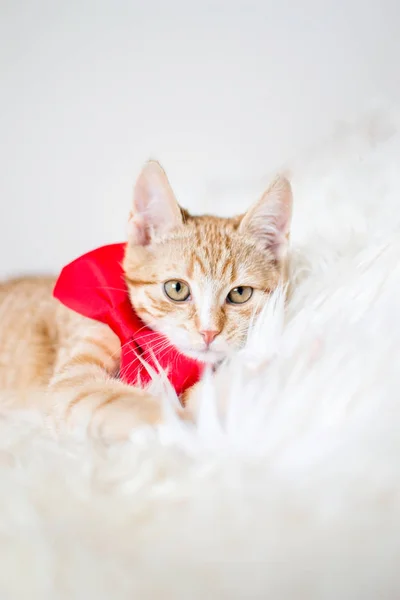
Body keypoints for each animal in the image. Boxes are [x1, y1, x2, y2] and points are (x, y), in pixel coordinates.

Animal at [0, 163, 290, 440]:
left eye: (240, 294)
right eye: (176, 289)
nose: (208, 332)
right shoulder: (70, 382)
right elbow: (114, 398)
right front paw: (184, 425)